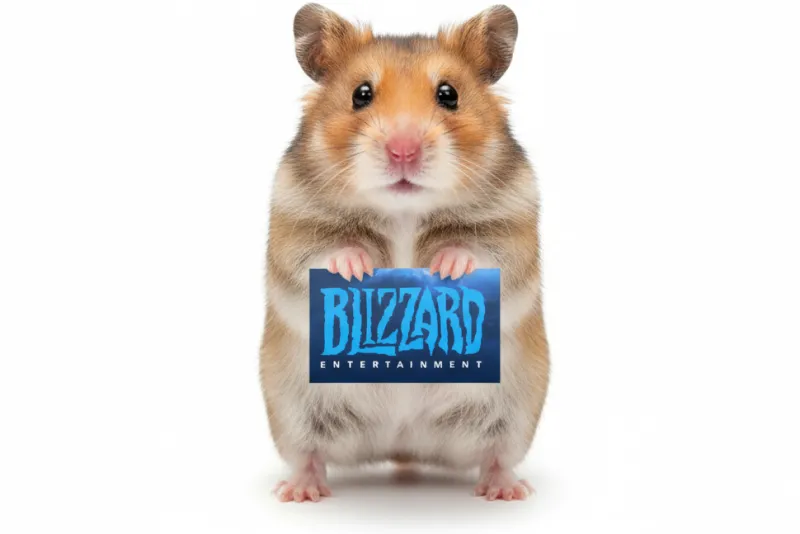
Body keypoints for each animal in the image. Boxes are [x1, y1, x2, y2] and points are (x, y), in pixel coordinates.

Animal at [260, 4, 549, 502]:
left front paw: (447, 267)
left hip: (515, 415)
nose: (403, 150)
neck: (404, 212)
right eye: (361, 94)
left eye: (449, 94)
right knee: (308, 455)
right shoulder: (292, 233)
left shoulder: (513, 235)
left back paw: (505, 491)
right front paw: (357, 268)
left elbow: (480, 253)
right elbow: (323, 254)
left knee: (497, 456)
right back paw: (299, 491)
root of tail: (403, 441)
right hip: (292, 413)